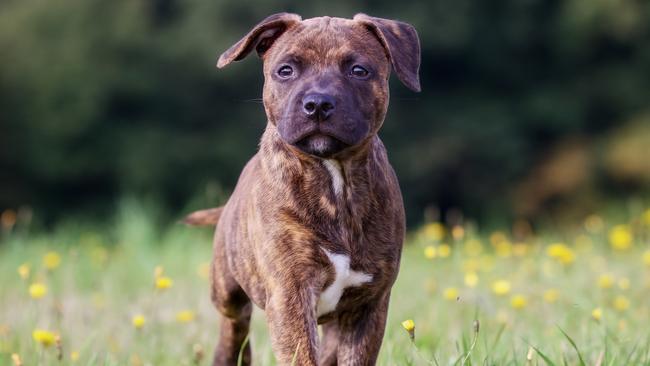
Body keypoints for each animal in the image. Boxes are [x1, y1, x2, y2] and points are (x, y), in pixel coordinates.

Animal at [186, 12, 420, 366]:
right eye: (286, 70)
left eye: (359, 70)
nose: (318, 103)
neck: (335, 181)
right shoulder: (290, 294)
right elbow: (300, 355)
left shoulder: (369, 304)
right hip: (228, 294)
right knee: (234, 332)